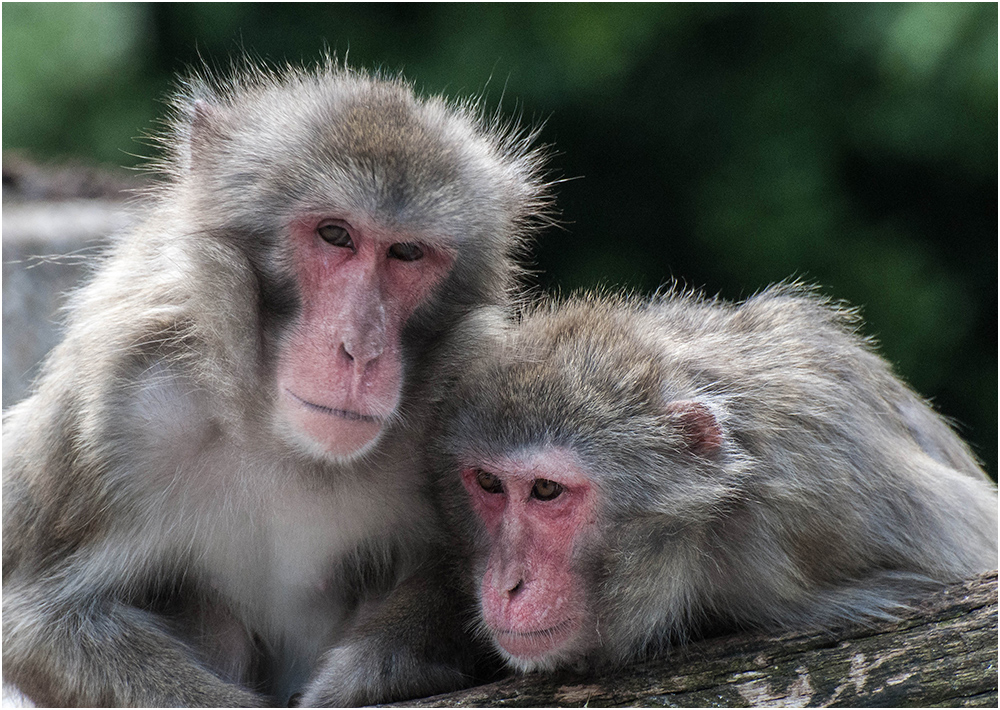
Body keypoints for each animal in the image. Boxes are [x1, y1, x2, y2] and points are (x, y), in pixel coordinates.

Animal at [0, 58, 552, 708]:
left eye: (407, 253)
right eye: (335, 235)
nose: (361, 350)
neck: (283, 442)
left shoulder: (469, 400)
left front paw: (351, 682)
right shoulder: (119, 415)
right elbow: (34, 620)